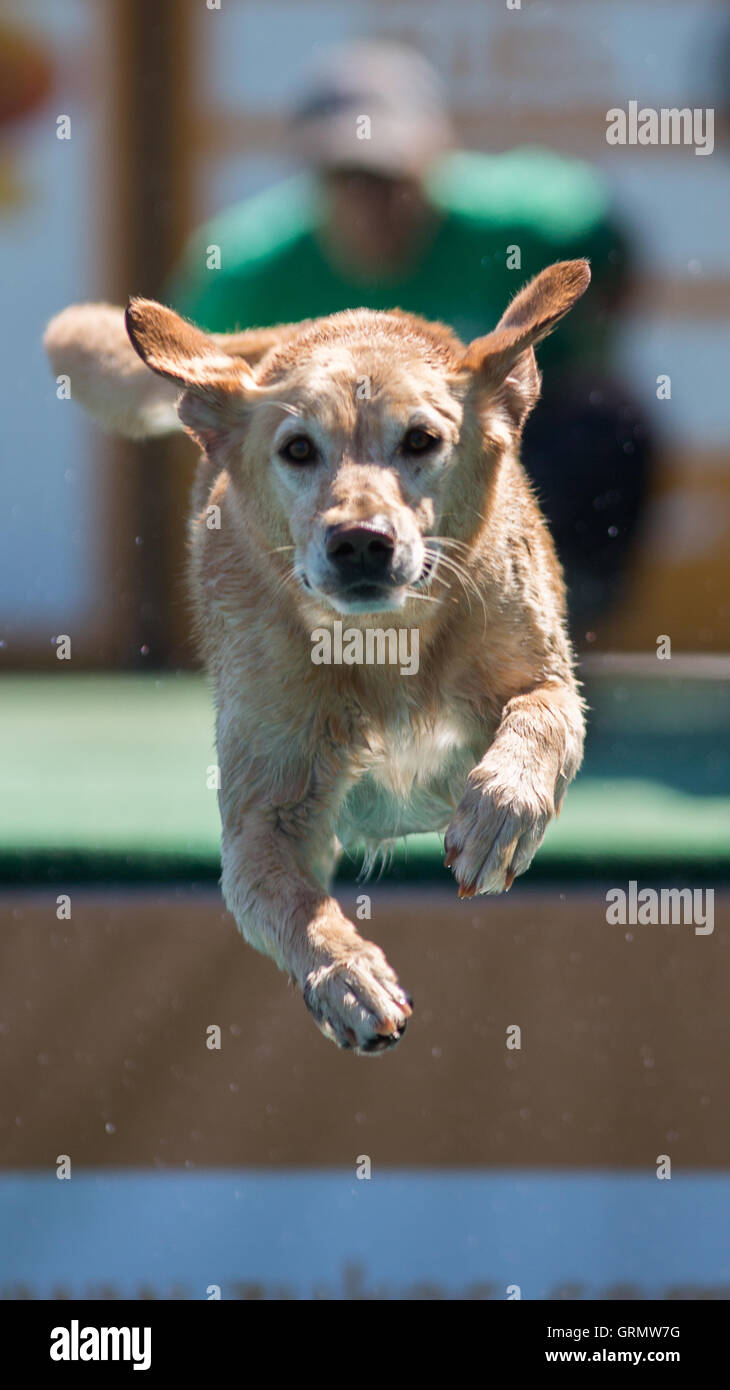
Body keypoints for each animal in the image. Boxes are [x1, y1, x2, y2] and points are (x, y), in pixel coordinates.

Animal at [45, 258, 589, 1050]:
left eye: (421, 440)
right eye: (298, 450)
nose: (360, 541)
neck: (387, 643)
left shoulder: (546, 677)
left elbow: (541, 717)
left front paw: (500, 813)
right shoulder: (263, 819)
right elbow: (295, 905)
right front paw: (347, 976)